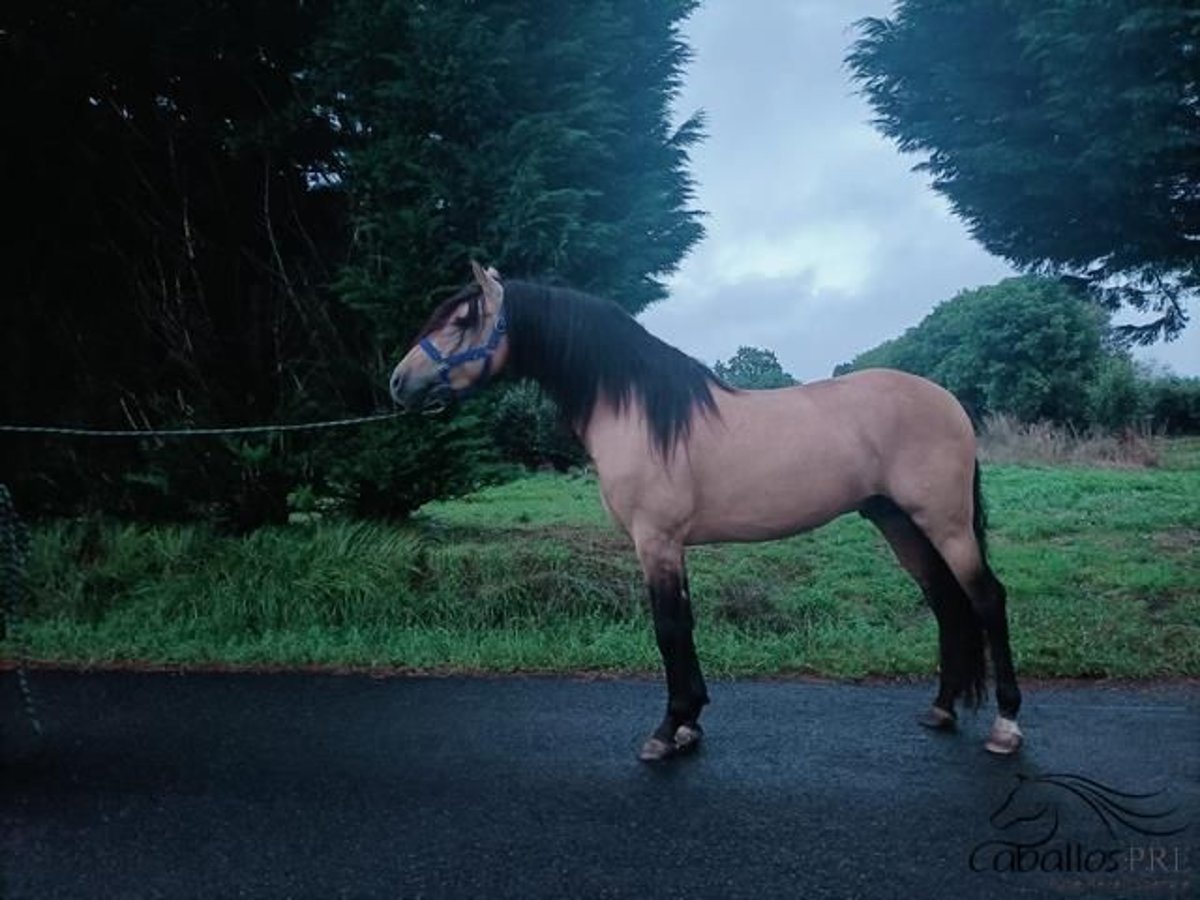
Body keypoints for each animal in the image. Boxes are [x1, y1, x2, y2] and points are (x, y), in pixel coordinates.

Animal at [391, 264, 1022, 763]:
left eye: (462, 321)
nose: (398, 382)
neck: (639, 412)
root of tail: (948, 401)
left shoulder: (656, 541)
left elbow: (668, 627)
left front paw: (666, 730)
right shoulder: (672, 546)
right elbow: (686, 624)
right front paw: (690, 723)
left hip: (944, 522)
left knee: (986, 599)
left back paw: (1006, 726)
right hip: (898, 522)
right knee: (946, 602)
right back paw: (942, 709)